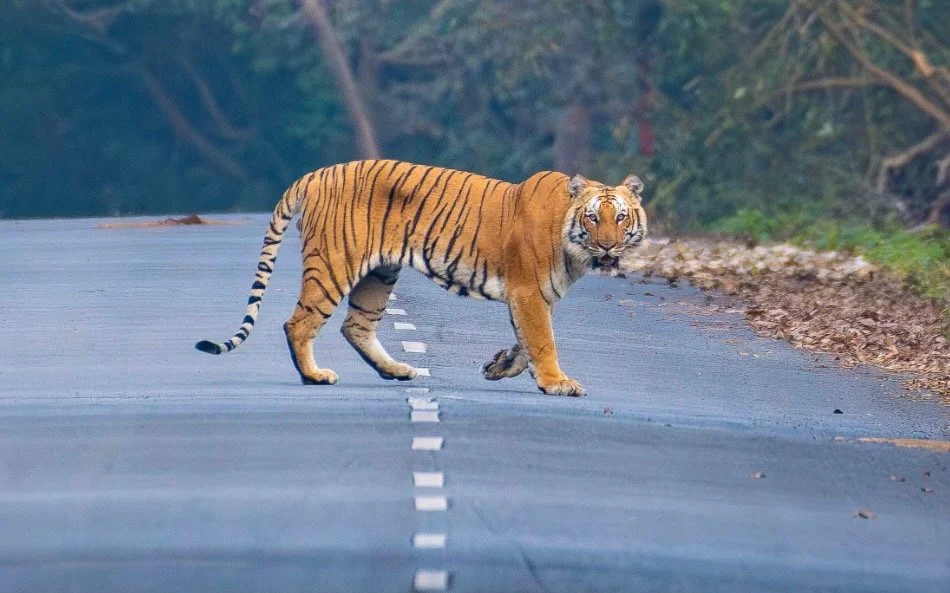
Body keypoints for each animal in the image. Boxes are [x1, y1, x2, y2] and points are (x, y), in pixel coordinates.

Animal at [196, 160, 647, 396]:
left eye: (621, 217)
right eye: (594, 218)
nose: (608, 247)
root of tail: (316, 173)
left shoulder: (535, 297)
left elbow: (526, 343)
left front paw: (499, 366)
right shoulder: (528, 292)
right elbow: (542, 341)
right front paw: (557, 383)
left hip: (379, 272)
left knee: (355, 326)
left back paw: (397, 371)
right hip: (334, 265)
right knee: (300, 322)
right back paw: (315, 376)